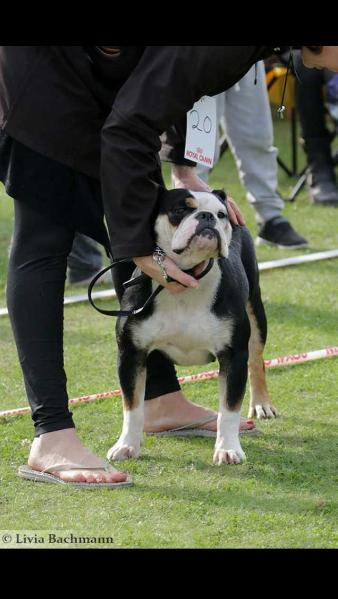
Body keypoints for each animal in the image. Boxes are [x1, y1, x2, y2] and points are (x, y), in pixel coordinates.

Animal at [107, 190, 276, 466]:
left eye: (221, 214)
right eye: (179, 211)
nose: (207, 217)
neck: (186, 280)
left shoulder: (233, 356)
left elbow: (229, 409)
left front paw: (228, 449)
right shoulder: (132, 353)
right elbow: (132, 406)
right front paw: (127, 445)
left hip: (255, 308)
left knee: (256, 358)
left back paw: (261, 403)